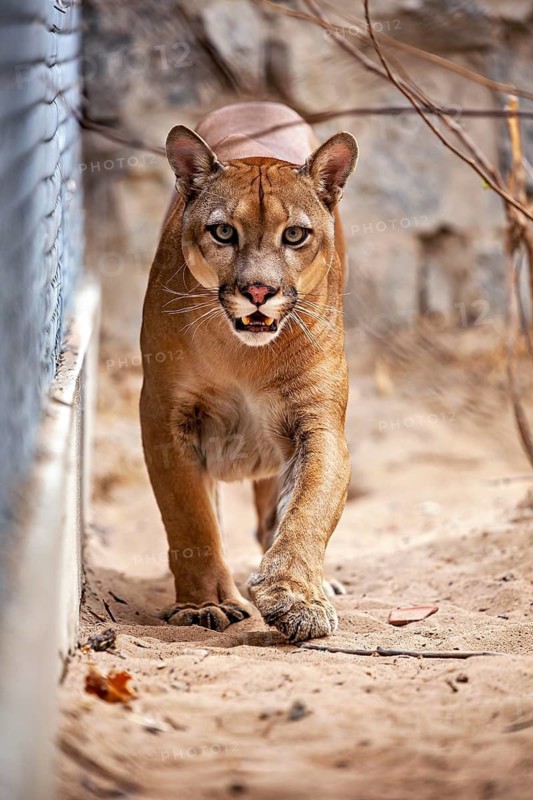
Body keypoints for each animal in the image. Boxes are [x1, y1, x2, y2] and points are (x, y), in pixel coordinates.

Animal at [140, 101, 358, 642]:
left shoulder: (318, 422)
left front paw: (297, 598)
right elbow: (190, 518)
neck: (246, 357)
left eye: (294, 234)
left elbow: (308, 511)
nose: (258, 291)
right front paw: (204, 605)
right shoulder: (165, 416)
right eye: (223, 232)